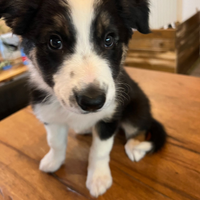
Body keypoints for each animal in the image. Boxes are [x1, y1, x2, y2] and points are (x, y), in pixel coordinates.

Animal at [0, 0, 166, 197]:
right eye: (54, 42)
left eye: (109, 40)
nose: (93, 102)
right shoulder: (49, 115)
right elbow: (55, 142)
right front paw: (53, 161)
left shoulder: (109, 115)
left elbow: (100, 150)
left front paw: (98, 179)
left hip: (136, 108)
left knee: (139, 127)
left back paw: (134, 146)